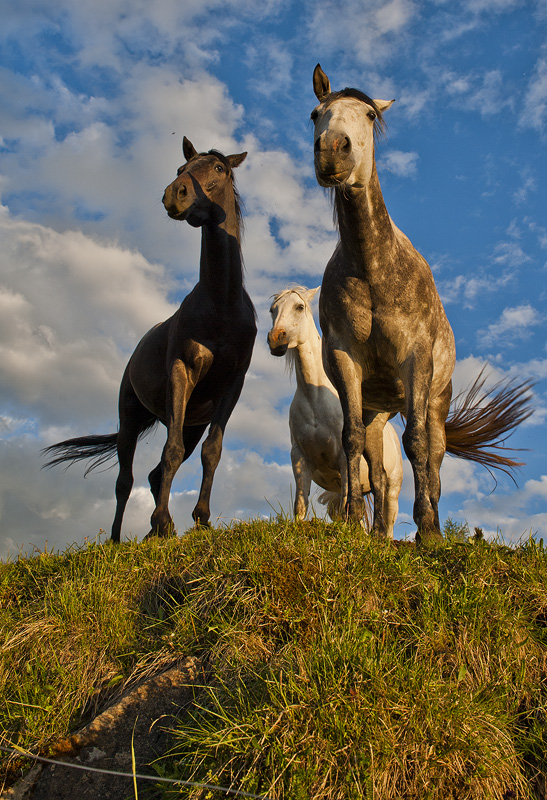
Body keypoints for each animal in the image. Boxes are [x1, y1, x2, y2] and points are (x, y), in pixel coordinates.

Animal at [42, 138, 256, 540]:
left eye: (219, 169)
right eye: (180, 169)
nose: (176, 194)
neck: (222, 301)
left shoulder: (231, 387)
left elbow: (212, 452)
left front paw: (201, 520)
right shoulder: (180, 372)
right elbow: (169, 452)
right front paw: (160, 521)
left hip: (192, 421)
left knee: (157, 473)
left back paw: (160, 531)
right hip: (130, 417)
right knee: (125, 481)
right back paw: (119, 539)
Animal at [268, 284, 404, 536]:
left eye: (299, 307)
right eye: (273, 309)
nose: (275, 339)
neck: (315, 398)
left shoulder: (343, 458)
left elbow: (346, 505)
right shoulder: (300, 457)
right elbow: (301, 505)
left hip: (393, 487)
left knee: (389, 519)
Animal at [312, 65, 536, 548]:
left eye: (369, 115)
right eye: (316, 114)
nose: (333, 150)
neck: (373, 268)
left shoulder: (415, 360)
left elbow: (415, 444)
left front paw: (429, 531)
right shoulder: (344, 359)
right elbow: (351, 441)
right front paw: (355, 524)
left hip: (436, 403)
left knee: (433, 460)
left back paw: (429, 522)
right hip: (377, 411)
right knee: (376, 466)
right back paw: (380, 532)